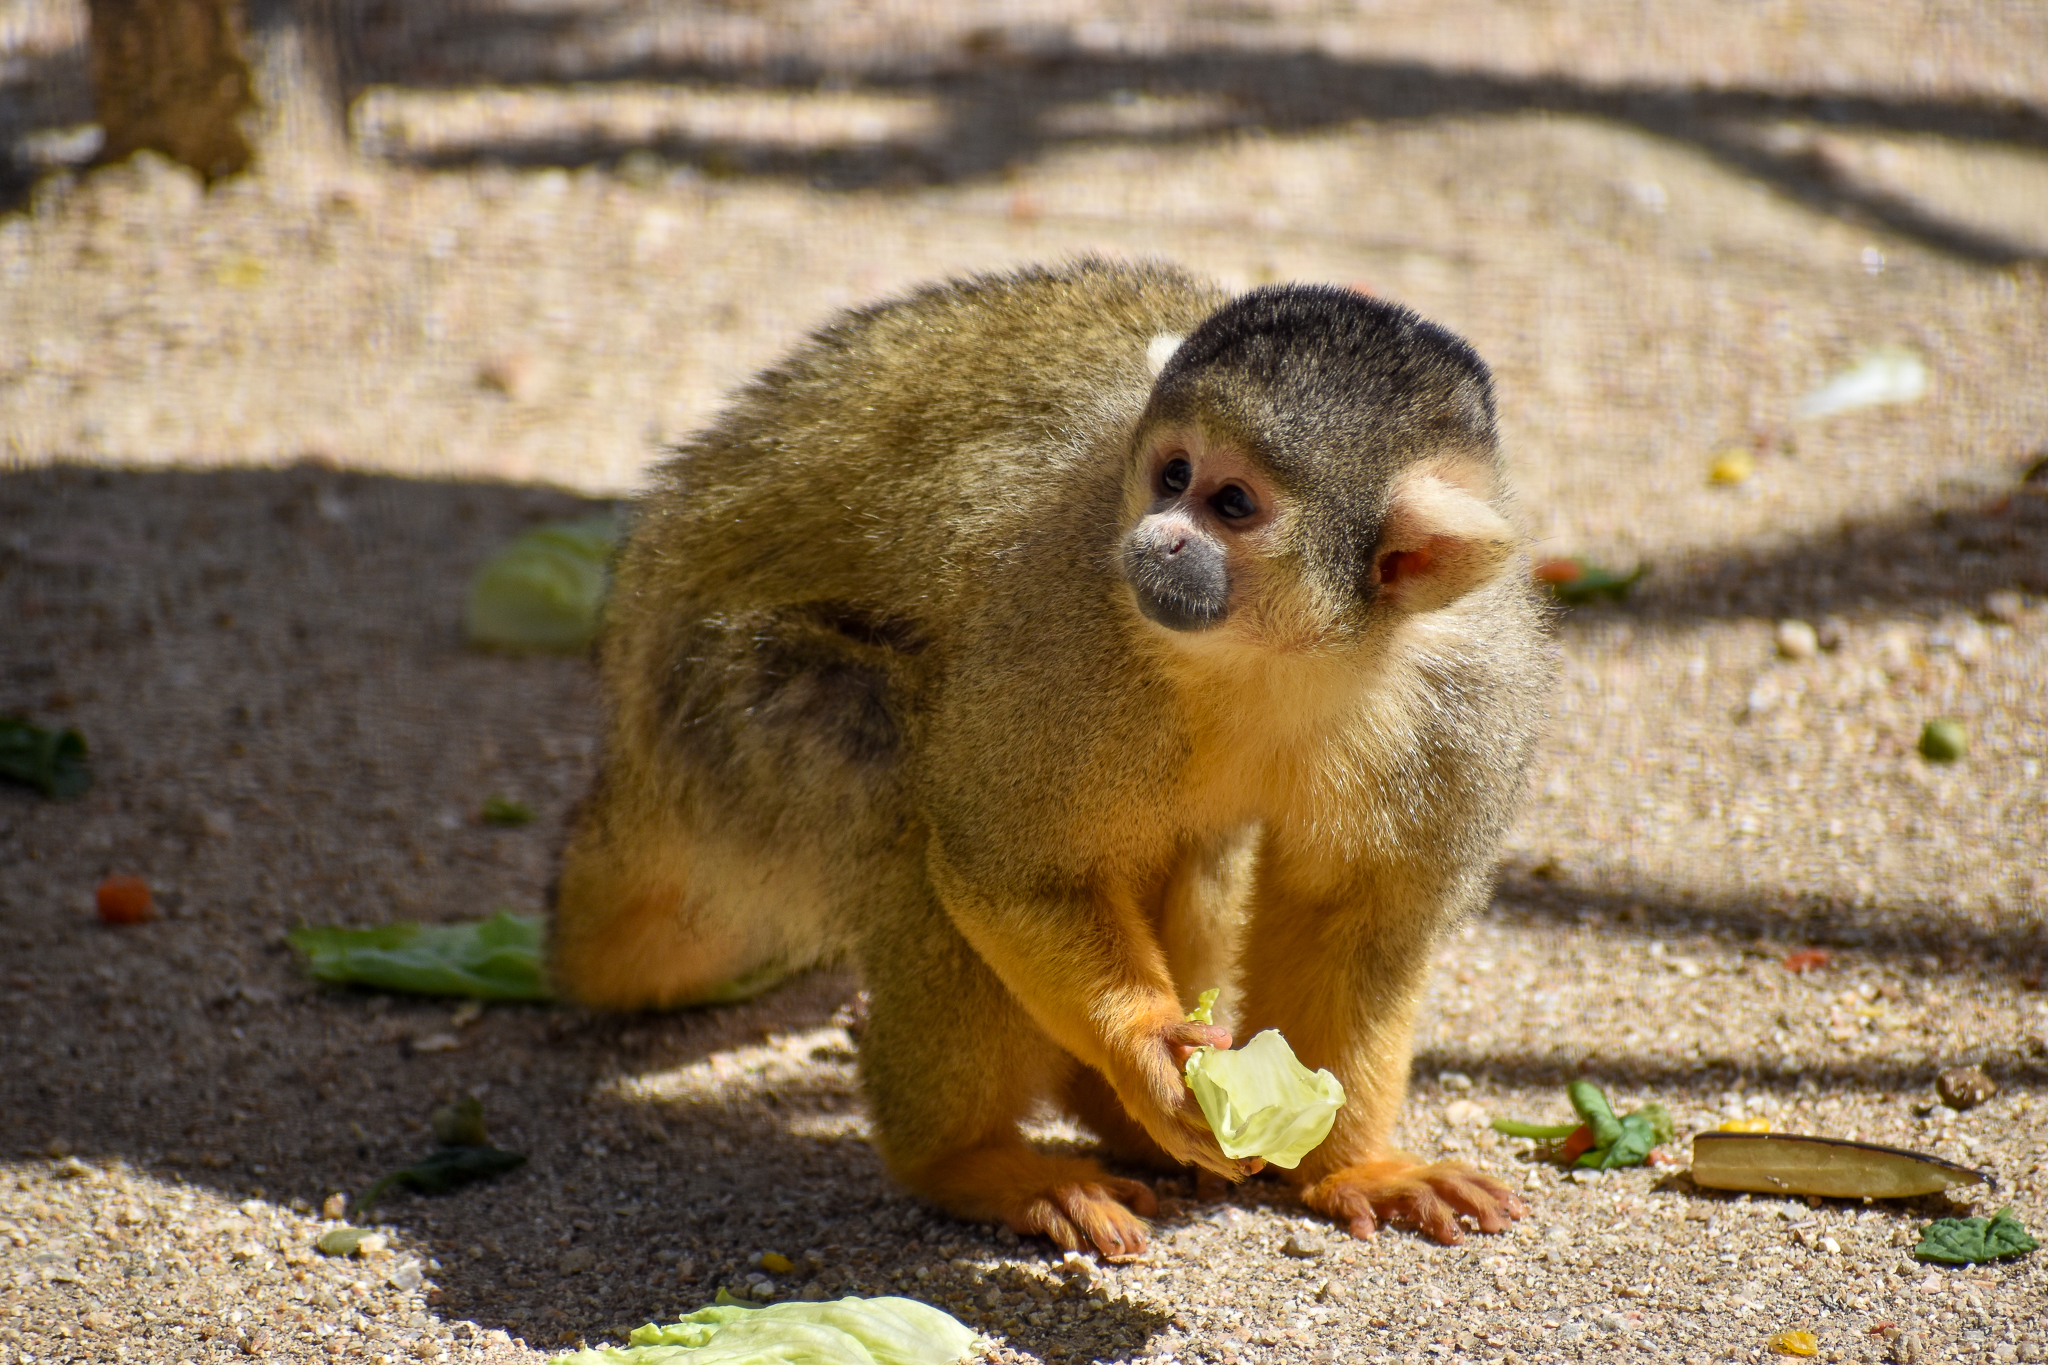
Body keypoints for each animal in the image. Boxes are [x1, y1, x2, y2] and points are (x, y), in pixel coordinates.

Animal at [552, 259, 1552, 1258]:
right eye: (1171, 474)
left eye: (1231, 503)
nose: (1155, 540)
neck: (1288, 656)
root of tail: (626, 758)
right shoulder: (1065, 611)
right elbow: (1007, 868)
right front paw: (1148, 1050)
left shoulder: (1467, 704)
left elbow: (1358, 923)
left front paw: (1348, 1165)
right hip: (718, 728)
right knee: (904, 809)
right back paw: (969, 1162)